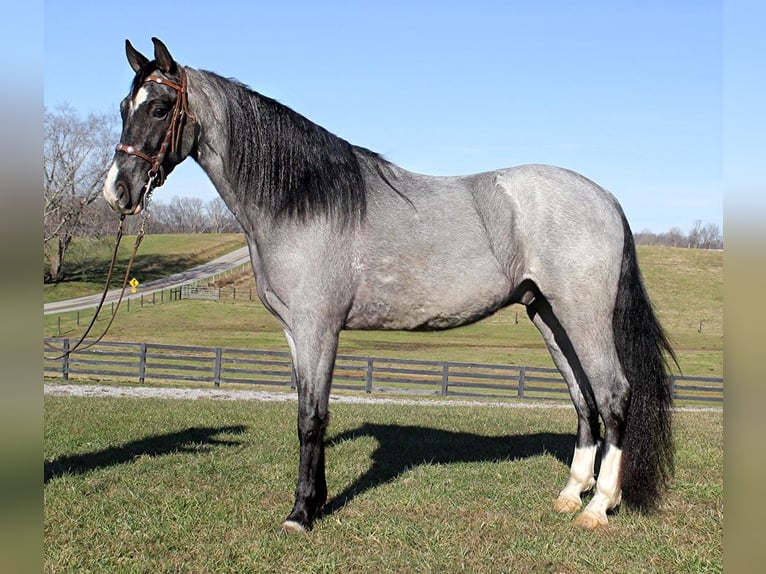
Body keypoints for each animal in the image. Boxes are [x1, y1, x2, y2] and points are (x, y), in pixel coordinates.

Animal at [103, 38, 675, 533]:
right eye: (124, 106)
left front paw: (301, 513)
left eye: (160, 108)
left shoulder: (318, 328)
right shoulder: (295, 332)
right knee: (584, 399)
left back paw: (599, 506)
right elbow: (307, 410)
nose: (117, 191)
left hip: (583, 315)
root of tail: (606, 198)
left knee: (614, 394)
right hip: (549, 315)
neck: (304, 203)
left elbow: (311, 417)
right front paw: (317, 500)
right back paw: (571, 495)